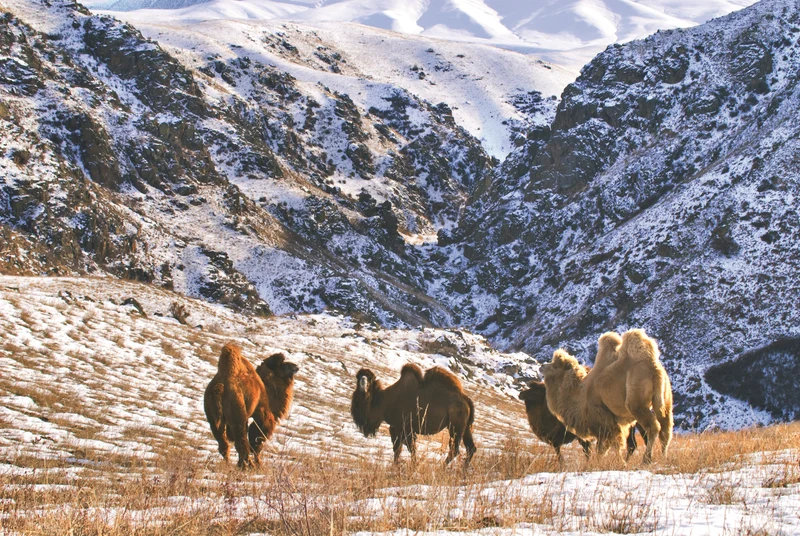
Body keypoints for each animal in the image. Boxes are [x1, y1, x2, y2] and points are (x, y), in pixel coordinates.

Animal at [541, 329, 673, 463]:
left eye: (555, 366)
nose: (542, 365)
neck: (580, 395)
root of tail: (654, 368)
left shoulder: (603, 420)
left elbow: (610, 445)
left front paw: (619, 463)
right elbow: (606, 447)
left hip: (636, 402)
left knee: (653, 427)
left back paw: (646, 459)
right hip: (665, 400)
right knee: (665, 428)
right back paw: (664, 457)